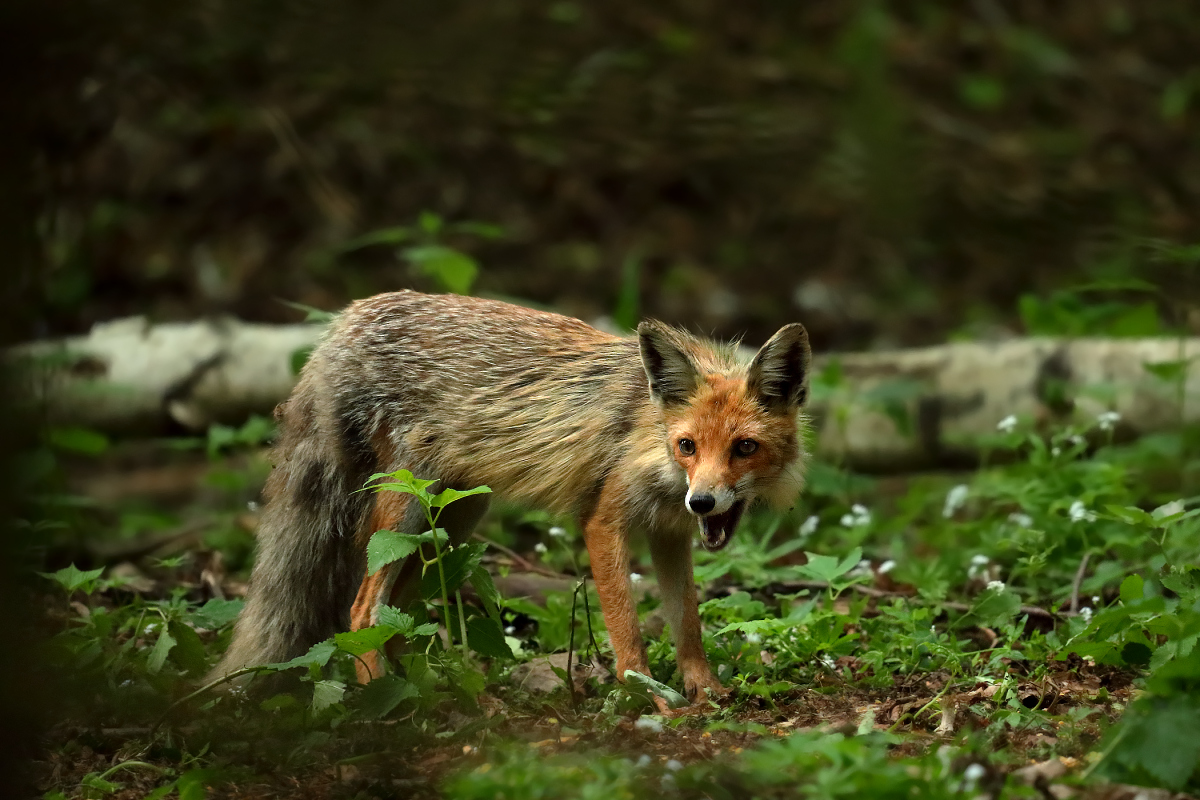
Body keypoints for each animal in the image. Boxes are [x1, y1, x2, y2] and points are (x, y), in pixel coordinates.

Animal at [213, 291, 816, 705]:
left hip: (450, 521)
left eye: (744, 448)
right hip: (407, 512)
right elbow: (627, 630)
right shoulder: (604, 521)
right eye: (687, 445)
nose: (703, 503)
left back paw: (438, 697)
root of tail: (344, 321)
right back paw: (389, 708)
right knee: (361, 615)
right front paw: (647, 698)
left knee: (398, 622)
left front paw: (704, 690)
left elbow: (687, 623)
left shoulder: (669, 533)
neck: (647, 436)